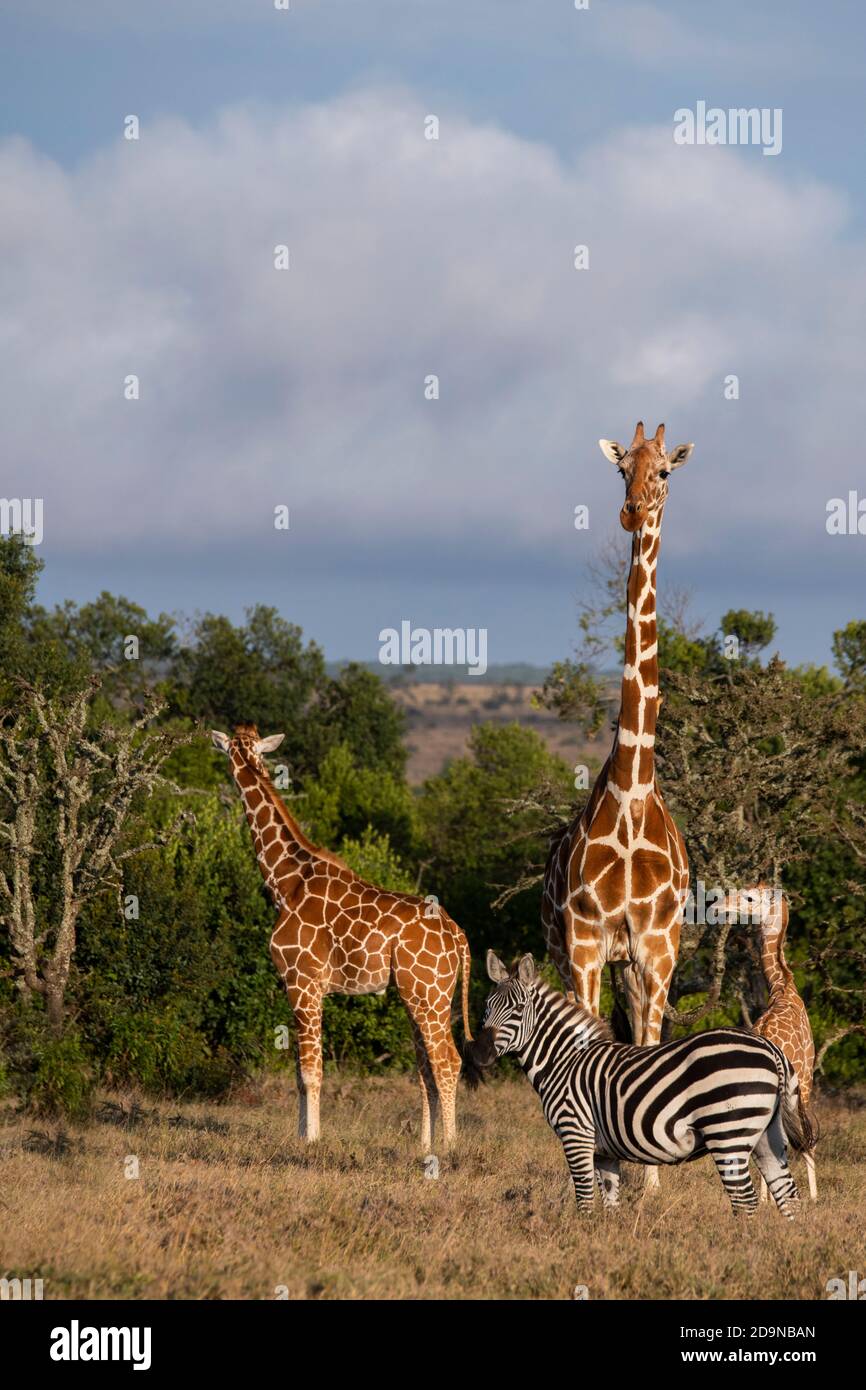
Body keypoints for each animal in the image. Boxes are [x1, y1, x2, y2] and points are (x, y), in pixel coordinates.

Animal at [211, 723, 472, 1148]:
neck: (286, 882)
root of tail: (458, 935)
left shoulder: (303, 982)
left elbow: (310, 1072)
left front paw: (312, 1140)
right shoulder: (303, 987)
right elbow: (299, 1073)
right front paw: (302, 1134)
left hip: (428, 995)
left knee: (447, 1061)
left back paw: (450, 1146)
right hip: (420, 996)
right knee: (425, 1070)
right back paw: (424, 1145)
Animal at [738, 886, 818, 1201]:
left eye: (750, 897)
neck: (783, 985)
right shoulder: (807, 1075)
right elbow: (808, 1134)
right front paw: (815, 1196)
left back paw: (764, 1197)